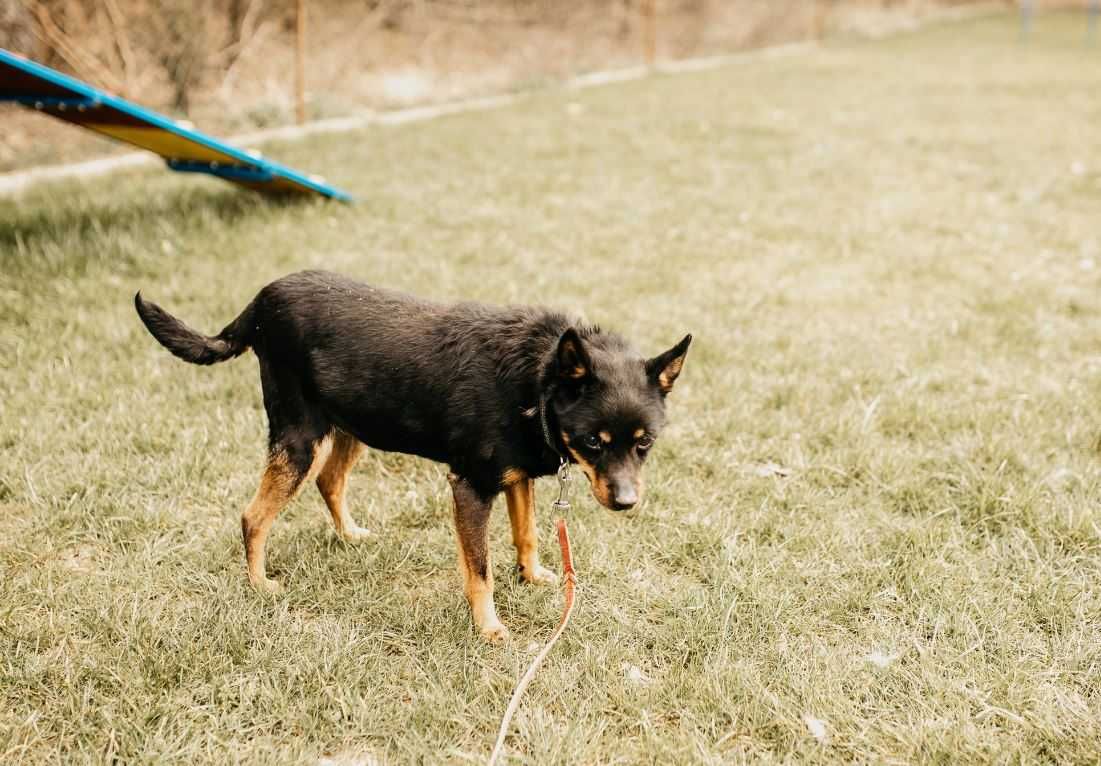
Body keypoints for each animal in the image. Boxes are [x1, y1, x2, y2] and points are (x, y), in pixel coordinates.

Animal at [135, 269, 687, 638]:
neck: (537, 380)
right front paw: (489, 629)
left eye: (645, 443)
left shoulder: (515, 478)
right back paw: (259, 585)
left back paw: (349, 535)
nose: (626, 502)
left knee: (330, 481)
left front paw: (532, 577)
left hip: (351, 426)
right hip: (301, 440)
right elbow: (480, 571)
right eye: (594, 441)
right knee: (253, 517)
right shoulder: (470, 487)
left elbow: (527, 534)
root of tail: (263, 298)